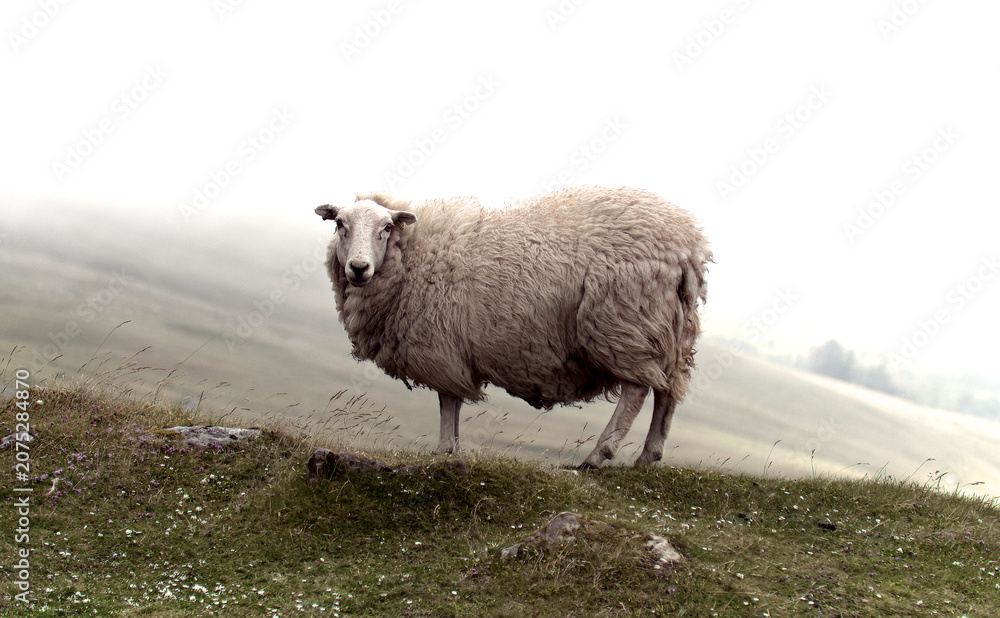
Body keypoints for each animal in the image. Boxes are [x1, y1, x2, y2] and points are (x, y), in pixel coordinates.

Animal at [315, 186, 711, 468]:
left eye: (385, 228)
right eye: (340, 225)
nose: (359, 268)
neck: (414, 255)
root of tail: (688, 247)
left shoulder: (440, 349)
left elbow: (447, 402)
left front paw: (443, 451)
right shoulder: (450, 352)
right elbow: (452, 406)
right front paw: (453, 449)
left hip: (625, 323)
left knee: (637, 390)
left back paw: (598, 455)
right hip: (673, 330)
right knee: (668, 392)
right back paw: (648, 457)